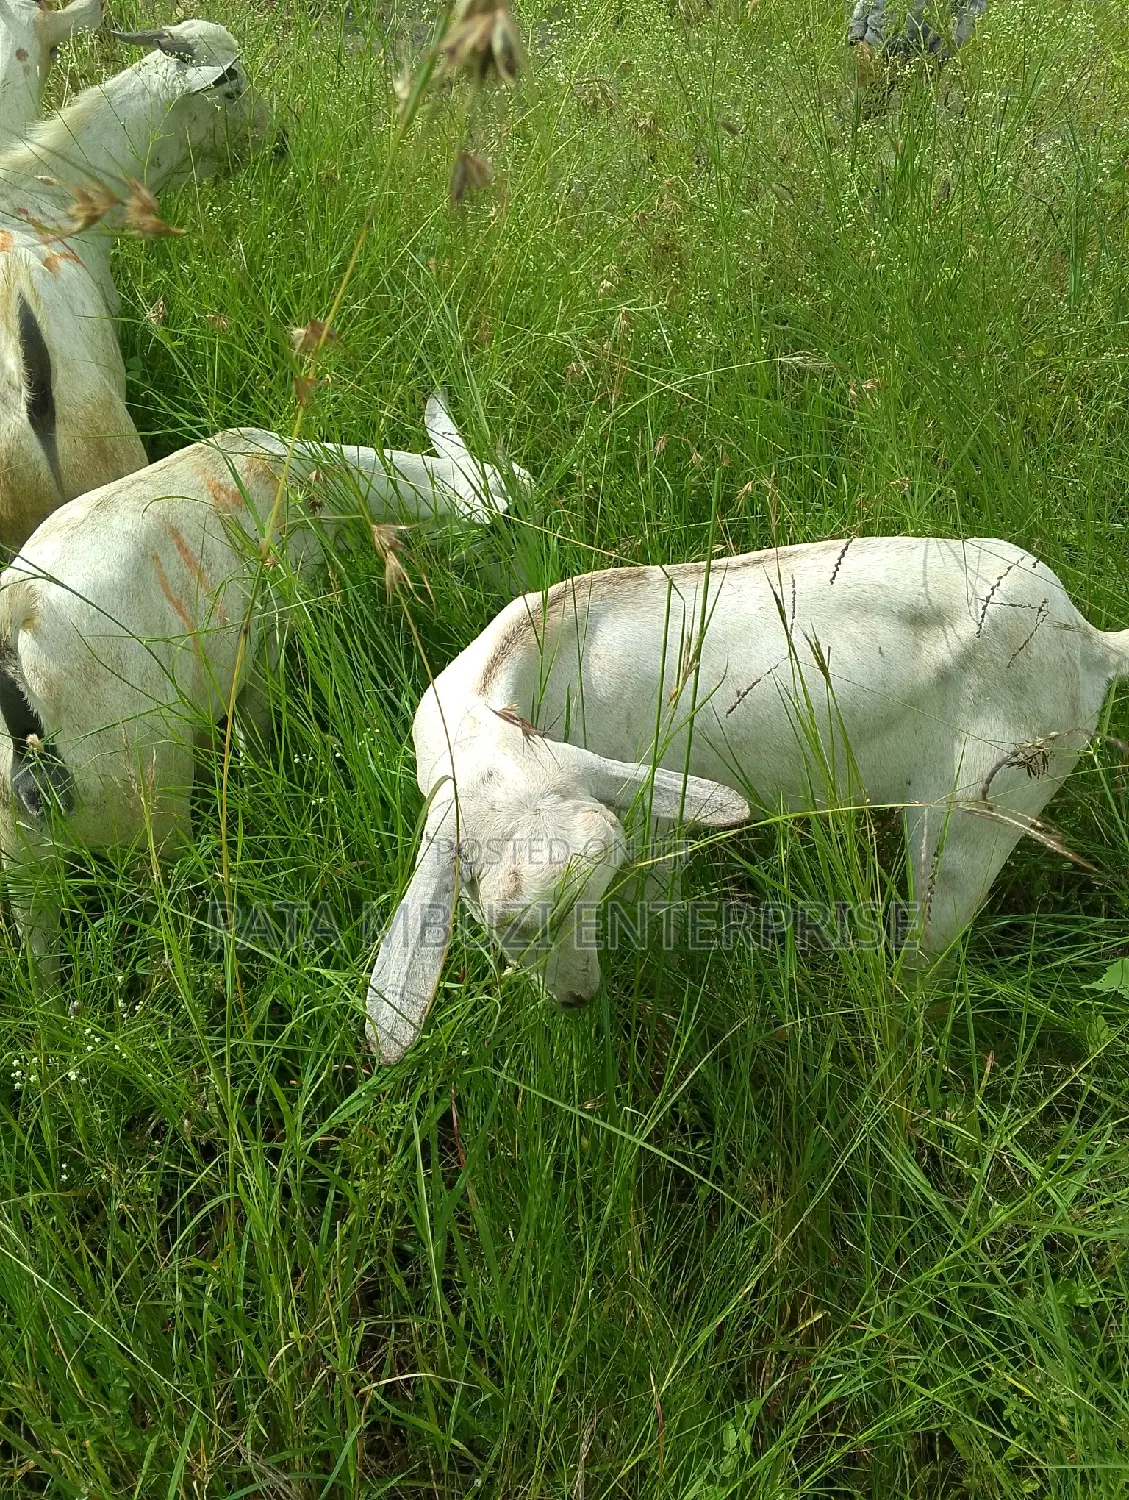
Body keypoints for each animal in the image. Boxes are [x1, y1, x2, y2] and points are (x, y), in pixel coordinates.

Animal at [0, 392, 531, 971]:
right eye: (503, 526)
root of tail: (18, 617)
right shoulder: (271, 626)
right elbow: (254, 714)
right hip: (143, 803)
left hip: (22, 862)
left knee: (40, 952)